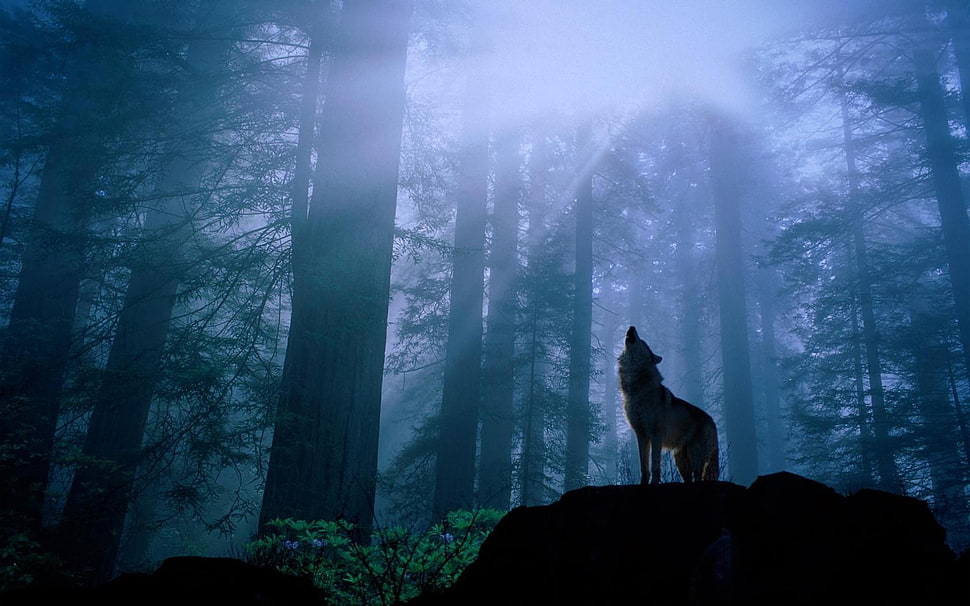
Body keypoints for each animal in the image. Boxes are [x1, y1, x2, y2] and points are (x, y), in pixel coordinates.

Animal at [617, 326, 719, 484]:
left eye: (643, 342)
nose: (631, 327)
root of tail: (712, 421)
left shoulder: (656, 435)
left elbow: (655, 465)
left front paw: (654, 483)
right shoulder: (641, 434)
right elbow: (644, 466)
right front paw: (643, 483)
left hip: (695, 457)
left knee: (698, 477)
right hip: (681, 462)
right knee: (689, 479)